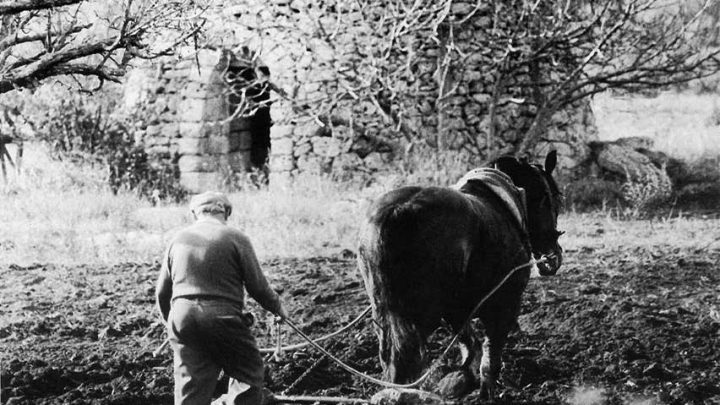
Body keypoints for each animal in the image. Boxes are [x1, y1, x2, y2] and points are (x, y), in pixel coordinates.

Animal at [358, 150, 564, 396]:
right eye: (553, 197)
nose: (554, 257)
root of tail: (396, 213)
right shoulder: (505, 305)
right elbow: (490, 359)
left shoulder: (458, 312)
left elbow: (469, 345)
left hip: (385, 317)